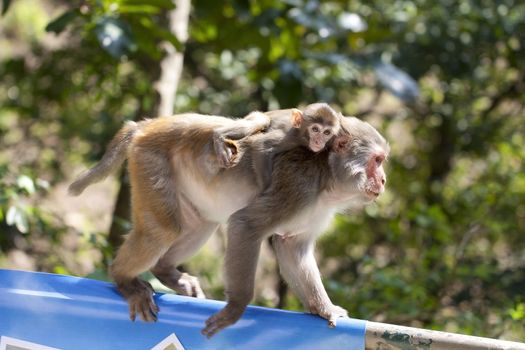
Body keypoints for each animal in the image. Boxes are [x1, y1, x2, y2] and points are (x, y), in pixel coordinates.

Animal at [68, 109, 388, 336]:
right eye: (377, 161)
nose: (384, 180)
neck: (327, 175)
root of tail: (148, 126)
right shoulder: (298, 186)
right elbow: (246, 224)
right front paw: (235, 308)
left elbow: (292, 248)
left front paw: (324, 309)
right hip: (150, 159)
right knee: (163, 231)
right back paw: (124, 279)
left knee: (201, 224)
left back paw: (167, 272)